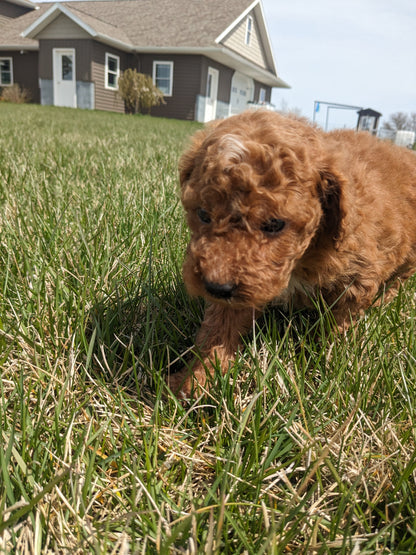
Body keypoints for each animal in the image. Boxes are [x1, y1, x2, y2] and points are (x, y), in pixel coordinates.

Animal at [168, 108, 416, 398]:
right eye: (203, 214)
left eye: (275, 224)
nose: (216, 287)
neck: (302, 257)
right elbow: (219, 327)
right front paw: (195, 379)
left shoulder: (357, 277)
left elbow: (336, 327)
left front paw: (324, 363)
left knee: (398, 280)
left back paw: (384, 300)